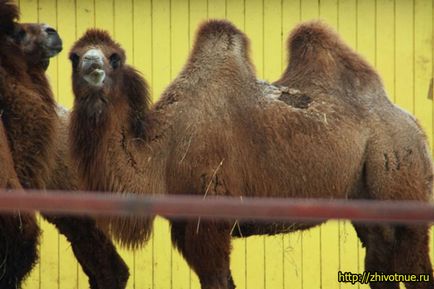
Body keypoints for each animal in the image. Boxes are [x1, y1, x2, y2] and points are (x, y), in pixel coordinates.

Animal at [69, 20, 432, 288]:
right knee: (381, 258)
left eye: (114, 57)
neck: (161, 152)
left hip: (401, 174)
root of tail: (415, 127)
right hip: (367, 199)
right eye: (74, 55)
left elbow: (217, 280)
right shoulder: (185, 225)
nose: (92, 65)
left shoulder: (209, 217)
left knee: (415, 264)